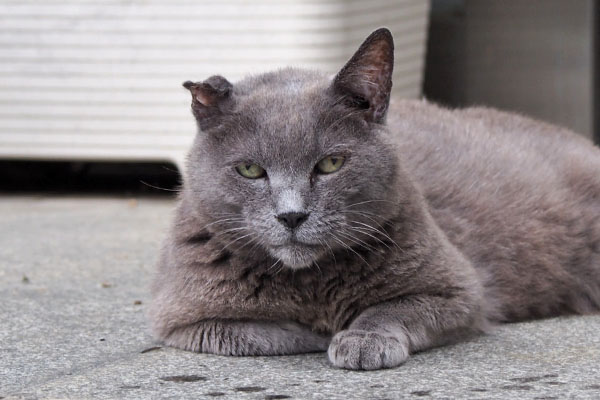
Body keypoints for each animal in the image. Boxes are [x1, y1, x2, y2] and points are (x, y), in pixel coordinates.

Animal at [150, 29, 600, 370]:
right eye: (249, 170)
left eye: (331, 163)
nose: (292, 215)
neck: (310, 280)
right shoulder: (182, 319)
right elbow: (255, 333)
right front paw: (320, 330)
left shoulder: (461, 290)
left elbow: (392, 308)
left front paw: (361, 337)